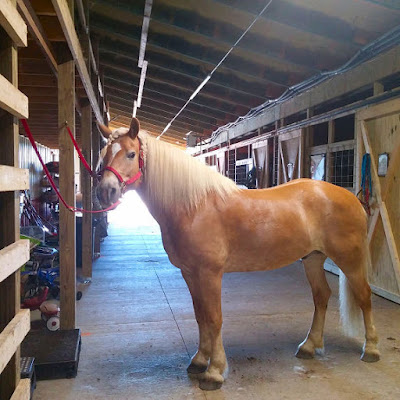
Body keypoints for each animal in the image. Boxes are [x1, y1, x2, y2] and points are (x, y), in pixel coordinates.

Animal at [96, 118, 380, 391]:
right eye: (104, 154)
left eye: (131, 154)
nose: (105, 192)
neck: (194, 207)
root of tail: (351, 198)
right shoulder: (190, 273)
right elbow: (200, 316)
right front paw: (199, 360)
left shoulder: (210, 274)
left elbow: (214, 318)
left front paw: (214, 372)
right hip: (313, 258)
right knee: (321, 296)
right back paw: (309, 346)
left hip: (349, 260)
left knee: (364, 296)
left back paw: (371, 349)